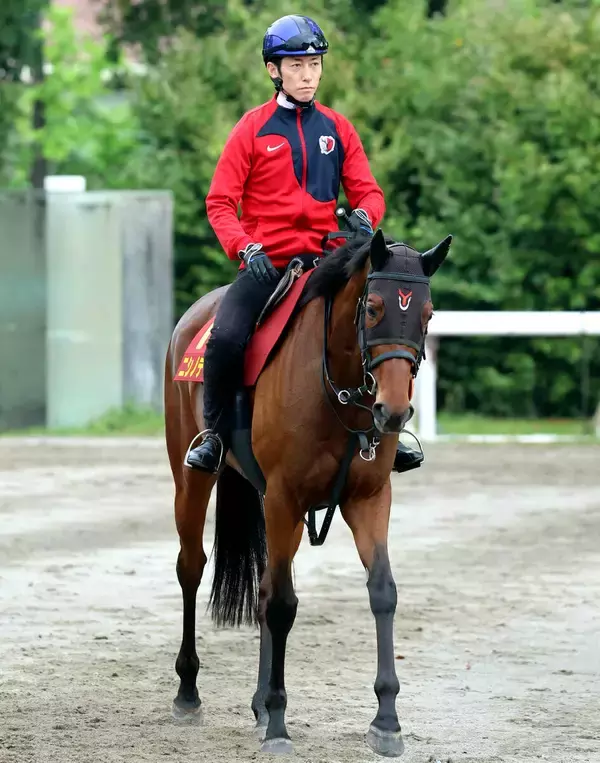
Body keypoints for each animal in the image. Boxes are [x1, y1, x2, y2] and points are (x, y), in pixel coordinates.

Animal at [163, 228, 452, 756]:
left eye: (427, 314)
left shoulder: (369, 499)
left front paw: (386, 720)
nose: (393, 411)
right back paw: (189, 692)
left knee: (262, 585)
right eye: (373, 307)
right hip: (192, 481)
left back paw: (257, 704)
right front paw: (279, 723)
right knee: (192, 569)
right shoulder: (284, 499)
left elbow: (382, 591)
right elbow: (282, 605)